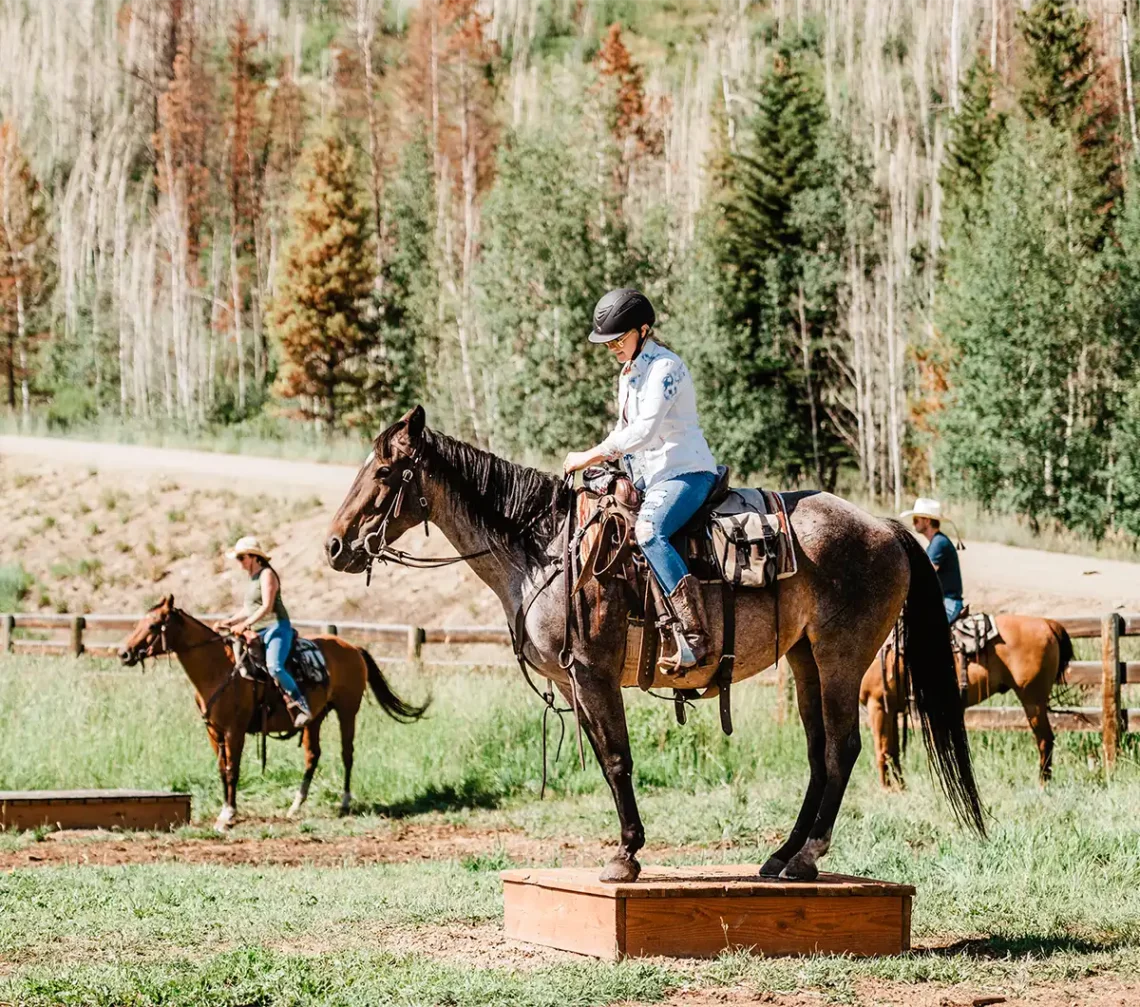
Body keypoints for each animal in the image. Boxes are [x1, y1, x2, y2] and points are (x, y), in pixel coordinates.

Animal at [119, 593, 428, 830]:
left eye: (154, 624)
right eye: (139, 622)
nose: (124, 653)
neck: (219, 669)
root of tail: (352, 647)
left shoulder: (234, 731)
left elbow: (232, 770)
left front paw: (228, 815)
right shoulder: (213, 732)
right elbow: (221, 769)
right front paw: (225, 810)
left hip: (347, 711)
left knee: (347, 753)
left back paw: (344, 802)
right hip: (315, 718)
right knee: (312, 755)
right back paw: (296, 805)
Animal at [326, 408, 984, 880]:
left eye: (384, 473)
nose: (335, 546)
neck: (544, 549)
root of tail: (886, 529)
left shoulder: (592, 672)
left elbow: (618, 759)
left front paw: (626, 856)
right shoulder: (577, 683)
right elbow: (605, 759)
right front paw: (626, 847)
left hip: (841, 656)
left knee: (842, 749)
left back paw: (805, 857)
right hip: (805, 661)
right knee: (819, 752)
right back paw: (780, 855)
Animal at [857, 615, 1071, 789]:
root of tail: (1046, 623)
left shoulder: (877, 706)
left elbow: (882, 751)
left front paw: (887, 790)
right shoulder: (890, 710)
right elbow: (892, 752)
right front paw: (901, 788)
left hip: (1032, 701)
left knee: (1044, 740)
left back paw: (1043, 784)